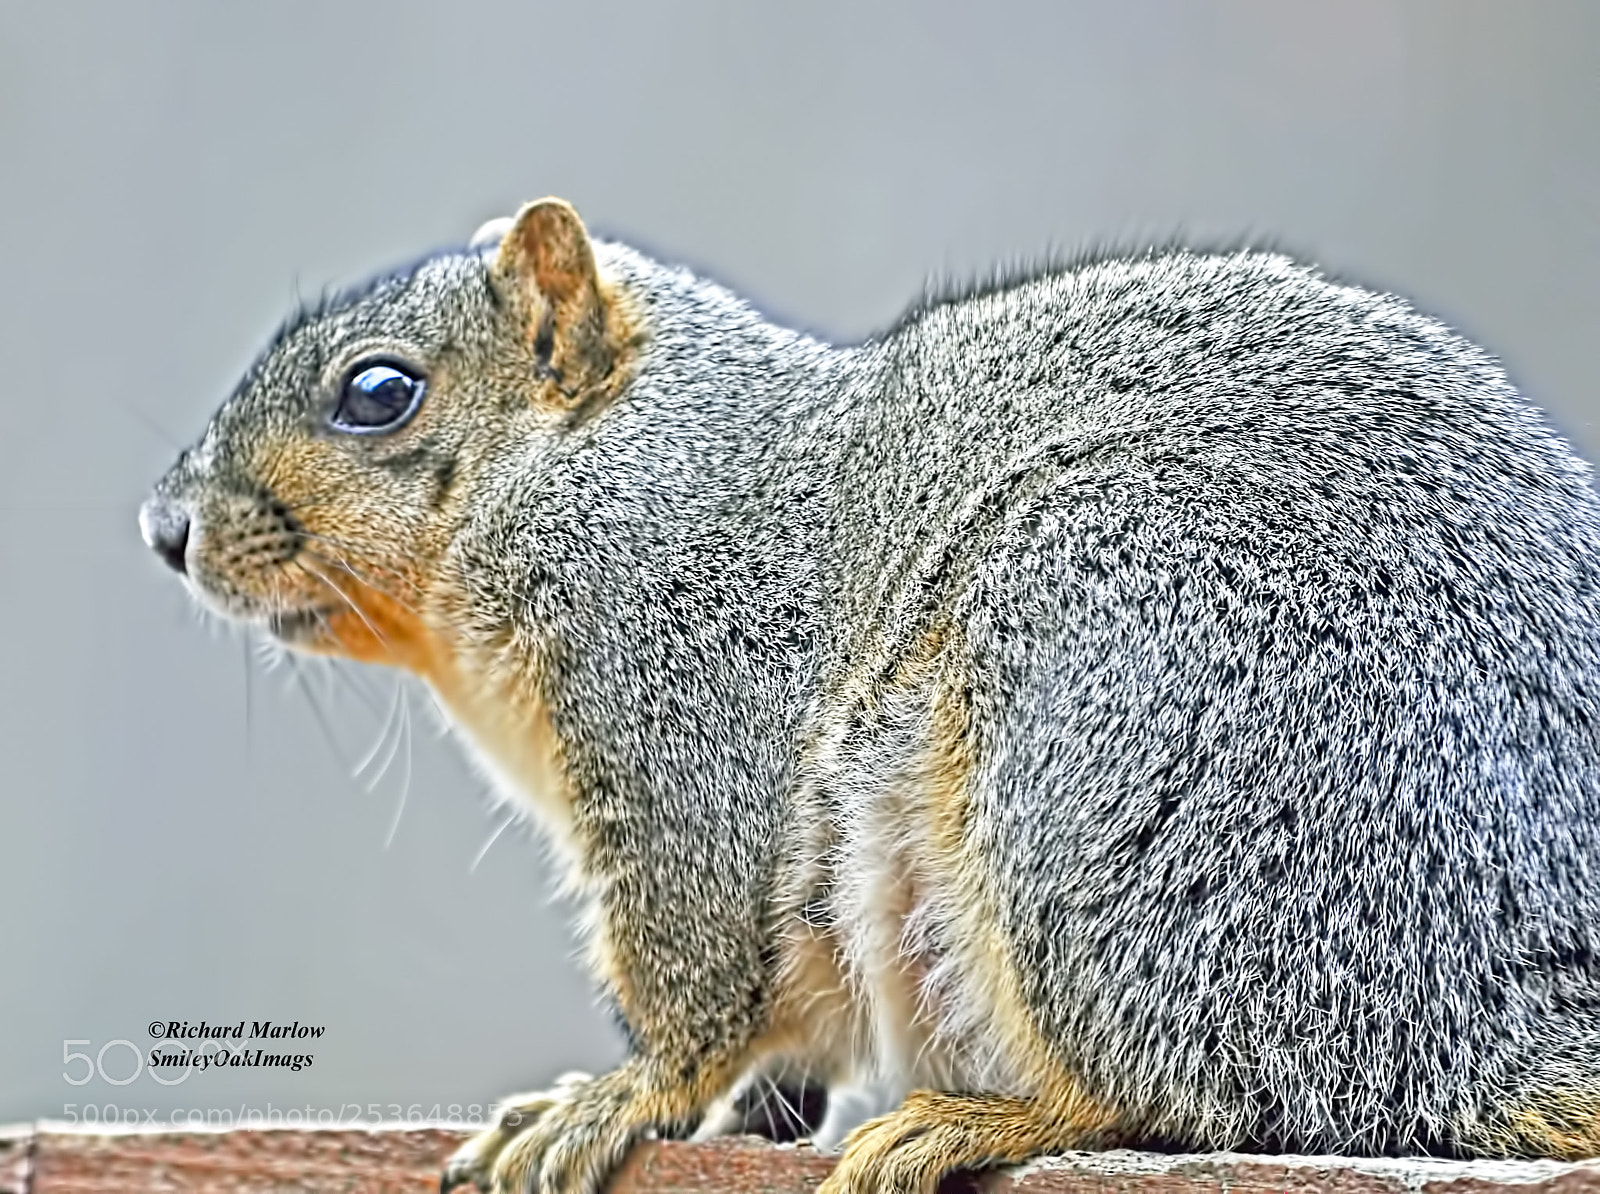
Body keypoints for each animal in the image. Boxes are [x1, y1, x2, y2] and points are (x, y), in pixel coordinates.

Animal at [140, 197, 1600, 1193]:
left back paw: (985, 1118)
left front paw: (612, 1099)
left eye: (378, 392)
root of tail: (1494, 1006)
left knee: (1203, 1095)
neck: (619, 465)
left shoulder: (684, 719)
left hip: (1106, 717)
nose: (166, 525)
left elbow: (696, 981)